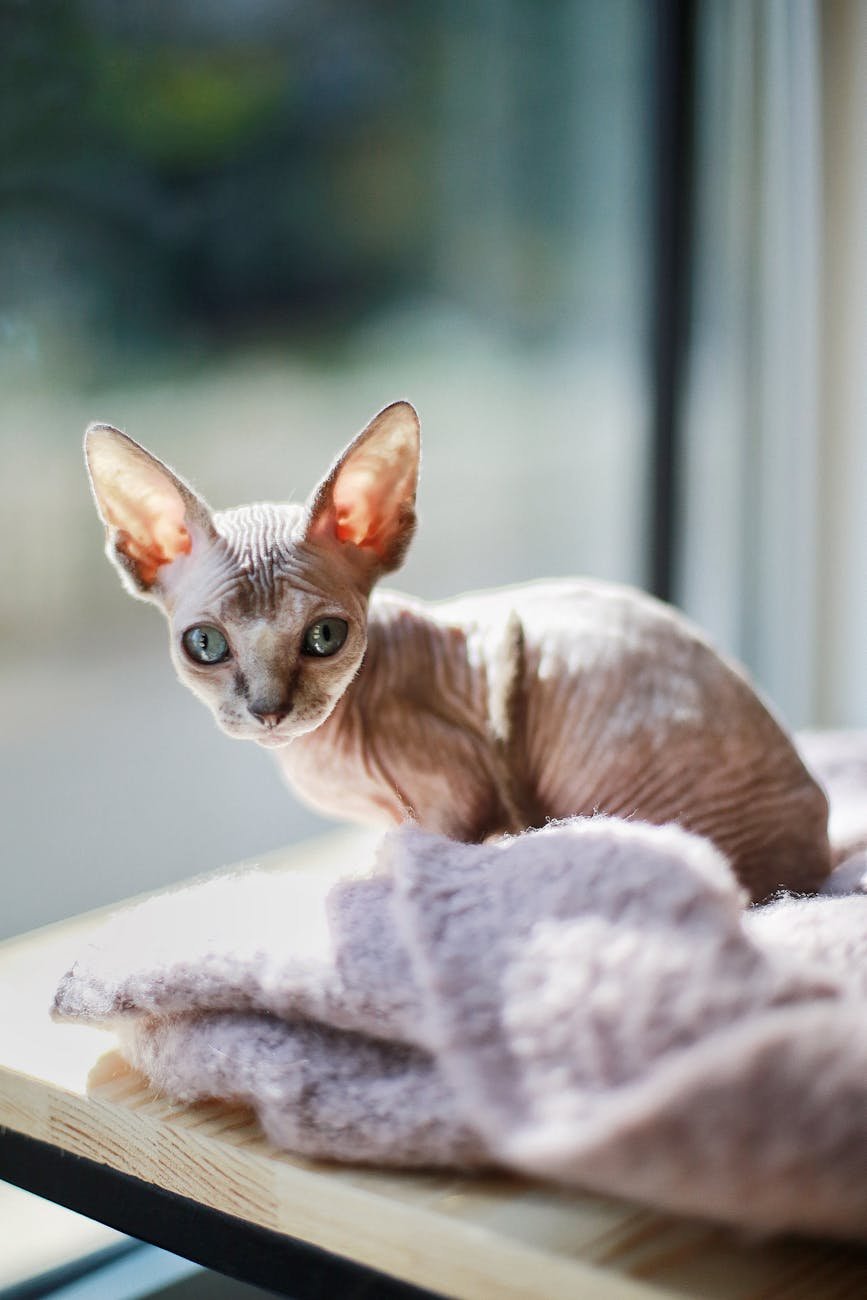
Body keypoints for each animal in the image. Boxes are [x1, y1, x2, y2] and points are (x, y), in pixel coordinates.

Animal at [84, 400, 831, 899]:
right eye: (206, 644)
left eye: (324, 637)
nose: (269, 710)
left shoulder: (459, 792)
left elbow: (421, 854)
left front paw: (375, 884)